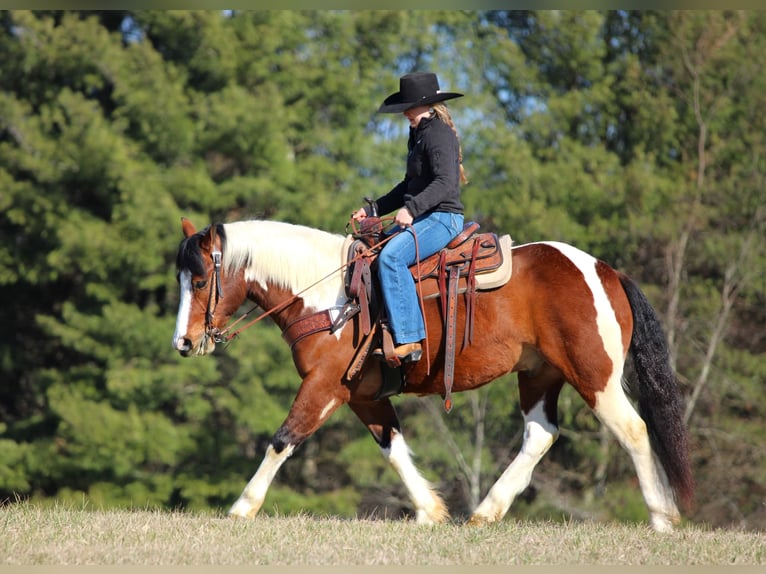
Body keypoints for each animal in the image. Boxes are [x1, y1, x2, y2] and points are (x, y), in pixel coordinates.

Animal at [172, 217, 694, 532]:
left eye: (199, 279)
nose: (184, 343)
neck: (328, 297)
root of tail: (605, 271)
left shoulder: (323, 385)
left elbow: (283, 440)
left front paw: (242, 506)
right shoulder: (363, 394)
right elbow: (394, 447)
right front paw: (430, 510)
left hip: (594, 376)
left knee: (633, 430)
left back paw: (662, 518)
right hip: (539, 374)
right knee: (540, 434)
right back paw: (485, 512)